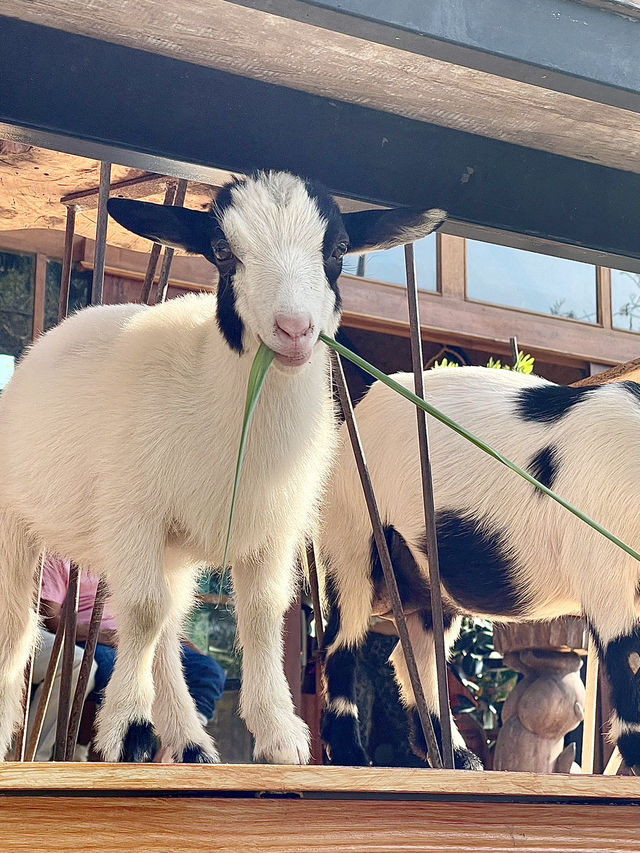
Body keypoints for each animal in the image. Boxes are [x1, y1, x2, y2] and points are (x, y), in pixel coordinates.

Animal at [0, 170, 444, 764]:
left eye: (339, 250)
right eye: (222, 251)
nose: (295, 328)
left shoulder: (275, 528)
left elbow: (261, 612)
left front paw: (279, 733)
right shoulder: (131, 512)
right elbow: (142, 610)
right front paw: (125, 723)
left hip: (173, 548)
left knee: (169, 625)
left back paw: (188, 740)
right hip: (22, 519)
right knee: (20, 628)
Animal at [322, 366, 640, 772]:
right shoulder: (603, 561)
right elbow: (626, 653)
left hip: (426, 581)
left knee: (416, 654)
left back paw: (460, 759)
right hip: (352, 536)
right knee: (341, 642)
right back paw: (353, 757)